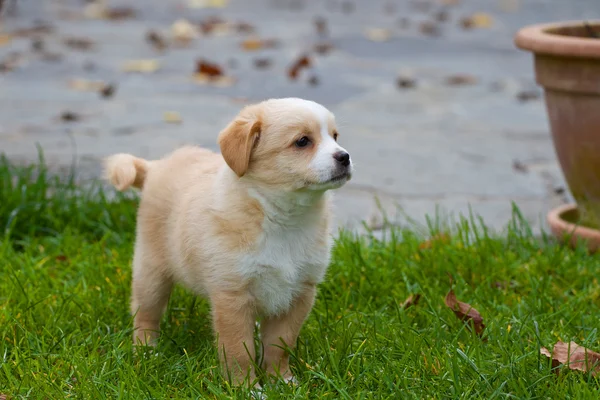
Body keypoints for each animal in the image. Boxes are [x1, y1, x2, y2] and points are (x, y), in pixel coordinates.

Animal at [103, 96, 352, 384]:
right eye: (302, 141)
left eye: (335, 136)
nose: (345, 156)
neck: (282, 217)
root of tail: (156, 166)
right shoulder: (233, 295)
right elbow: (238, 350)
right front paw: (246, 386)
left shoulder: (300, 291)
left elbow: (280, 344)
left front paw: (281, 380)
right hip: (151, 273)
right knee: (145, 315)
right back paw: (146, 352)